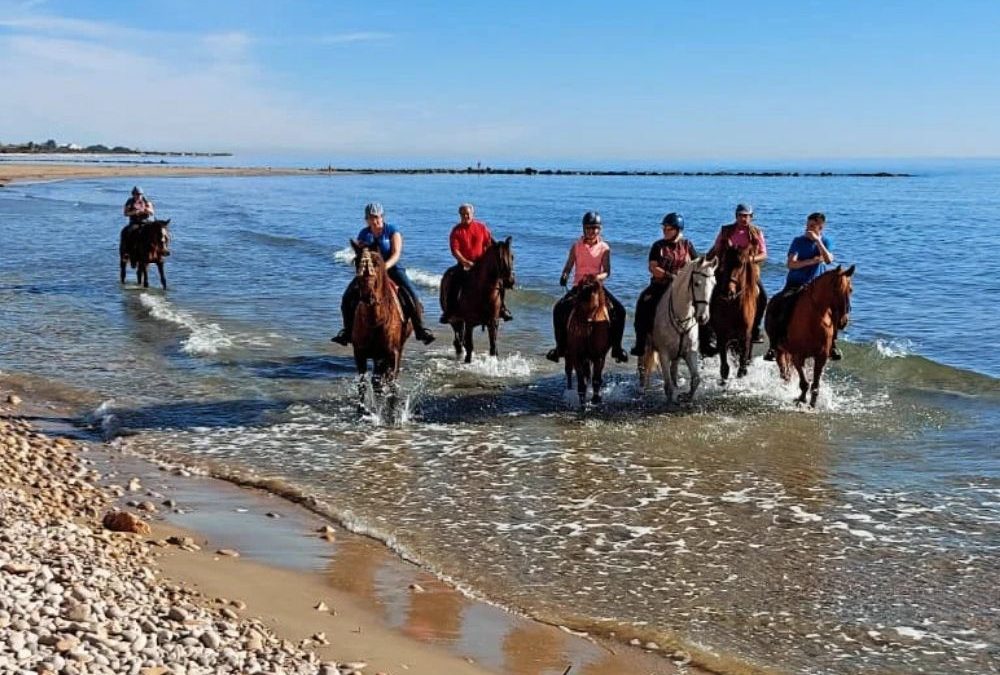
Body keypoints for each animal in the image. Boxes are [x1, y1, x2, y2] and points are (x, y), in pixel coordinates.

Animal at [349, 240, 411, 396]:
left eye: (376, 262)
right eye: (356, 262)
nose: (367, 295)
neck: (375, 321)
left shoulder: (392, 354)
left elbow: (391, 385)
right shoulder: (359, 353)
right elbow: (363, 385)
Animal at [564, 275, 611, 405]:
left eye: (595, 306)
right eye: (578, 304)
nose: (584, 329)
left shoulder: (598, 356)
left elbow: (596, 379)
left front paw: (595, 399)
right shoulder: (577, 356)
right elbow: (582, 382)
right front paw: (582, 402)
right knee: (568, 370)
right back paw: (569, 389)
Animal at [639, 257, 718, 405]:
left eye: (713, 284)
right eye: (697, 283)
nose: (703, 317)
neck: (681, 316)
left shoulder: (690, 352)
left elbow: (696, 379)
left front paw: (686, 396)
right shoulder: (664, 354)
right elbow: (668, 387)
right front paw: (671, 401)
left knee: (674, 369)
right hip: (646, 344)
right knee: (643, 365)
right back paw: (642, 388)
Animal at [709, 247, 759, 381]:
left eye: (741, 264)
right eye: (725, 261)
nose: (728, 291)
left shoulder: (745, 335)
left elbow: (742, 361)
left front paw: (742, 371)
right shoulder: (722, 335)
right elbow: (724, 367)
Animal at [768, 265, 855, 407]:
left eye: (851, 290)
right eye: (836, 288)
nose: (843, 322)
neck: (813, 319)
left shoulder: (821, 356)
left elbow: (815, 384)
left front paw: (812, 403)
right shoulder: (798, 356)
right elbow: (804, 382)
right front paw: (801, 399)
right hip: (779, 350)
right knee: (784, 373)